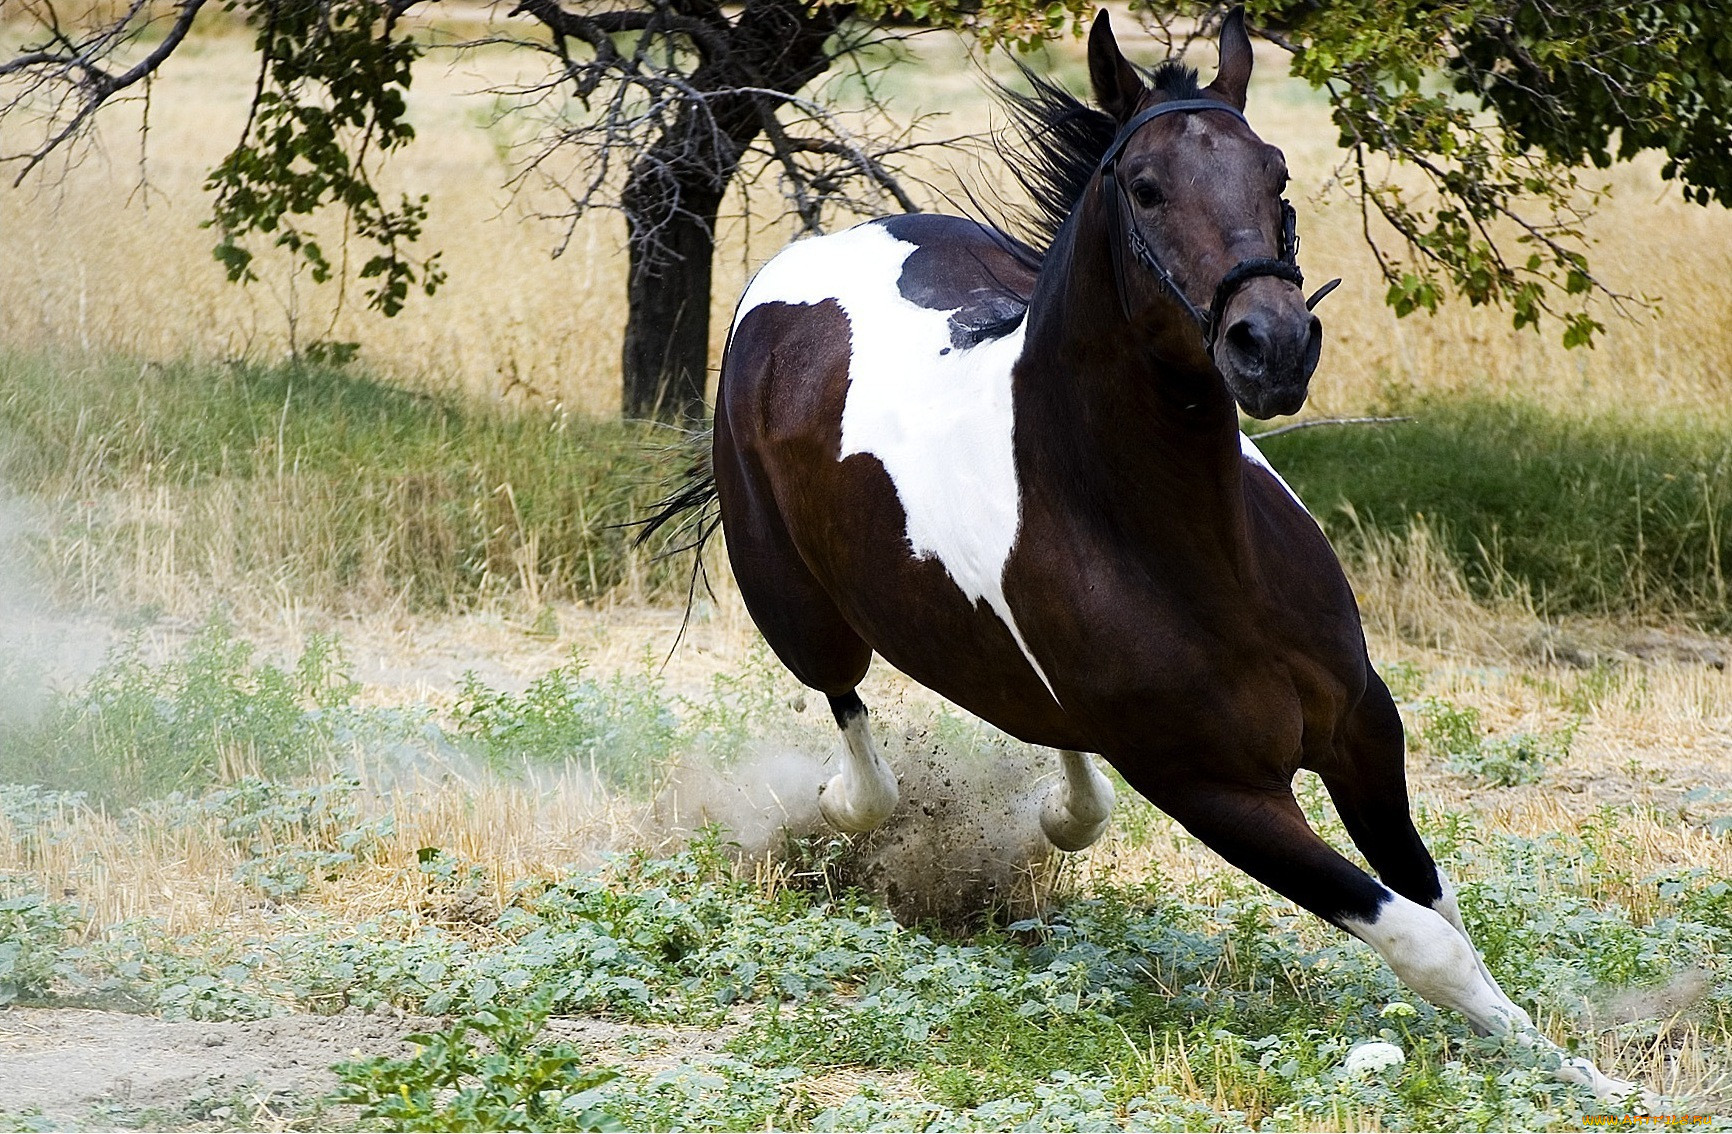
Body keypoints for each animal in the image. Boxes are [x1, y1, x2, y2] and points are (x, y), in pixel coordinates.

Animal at [675, 4, 1635, 1108]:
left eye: (1275, 174)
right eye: (1144, 186)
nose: (1272, 345)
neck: (1197, 557)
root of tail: (798, 268)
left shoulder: (1362, 725)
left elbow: (1438, 903)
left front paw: (1569, 1067)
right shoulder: (1210, 787)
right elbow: (1419, 937)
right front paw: (1593, 1083)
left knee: (1045, 731)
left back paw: (1065, 809)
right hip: (798, 611)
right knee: (852, 724)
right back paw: (849, 803)